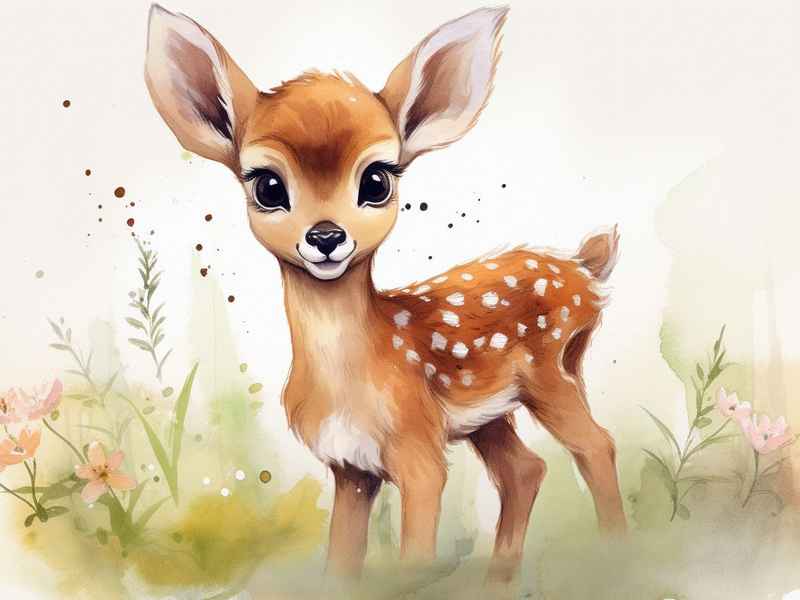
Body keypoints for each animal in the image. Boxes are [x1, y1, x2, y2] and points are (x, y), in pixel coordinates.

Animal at [144, 4, 626, 584]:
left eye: (376, 179)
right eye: (267, 186)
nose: (326, 237)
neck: (356, 374)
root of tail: (583, 267)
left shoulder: (420, 457)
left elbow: (414, 559)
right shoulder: (350, 467)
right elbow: (341, 560)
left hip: (550, 369)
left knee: (596, 445)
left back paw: (616, 556)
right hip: (489, 413)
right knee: (524, 470)